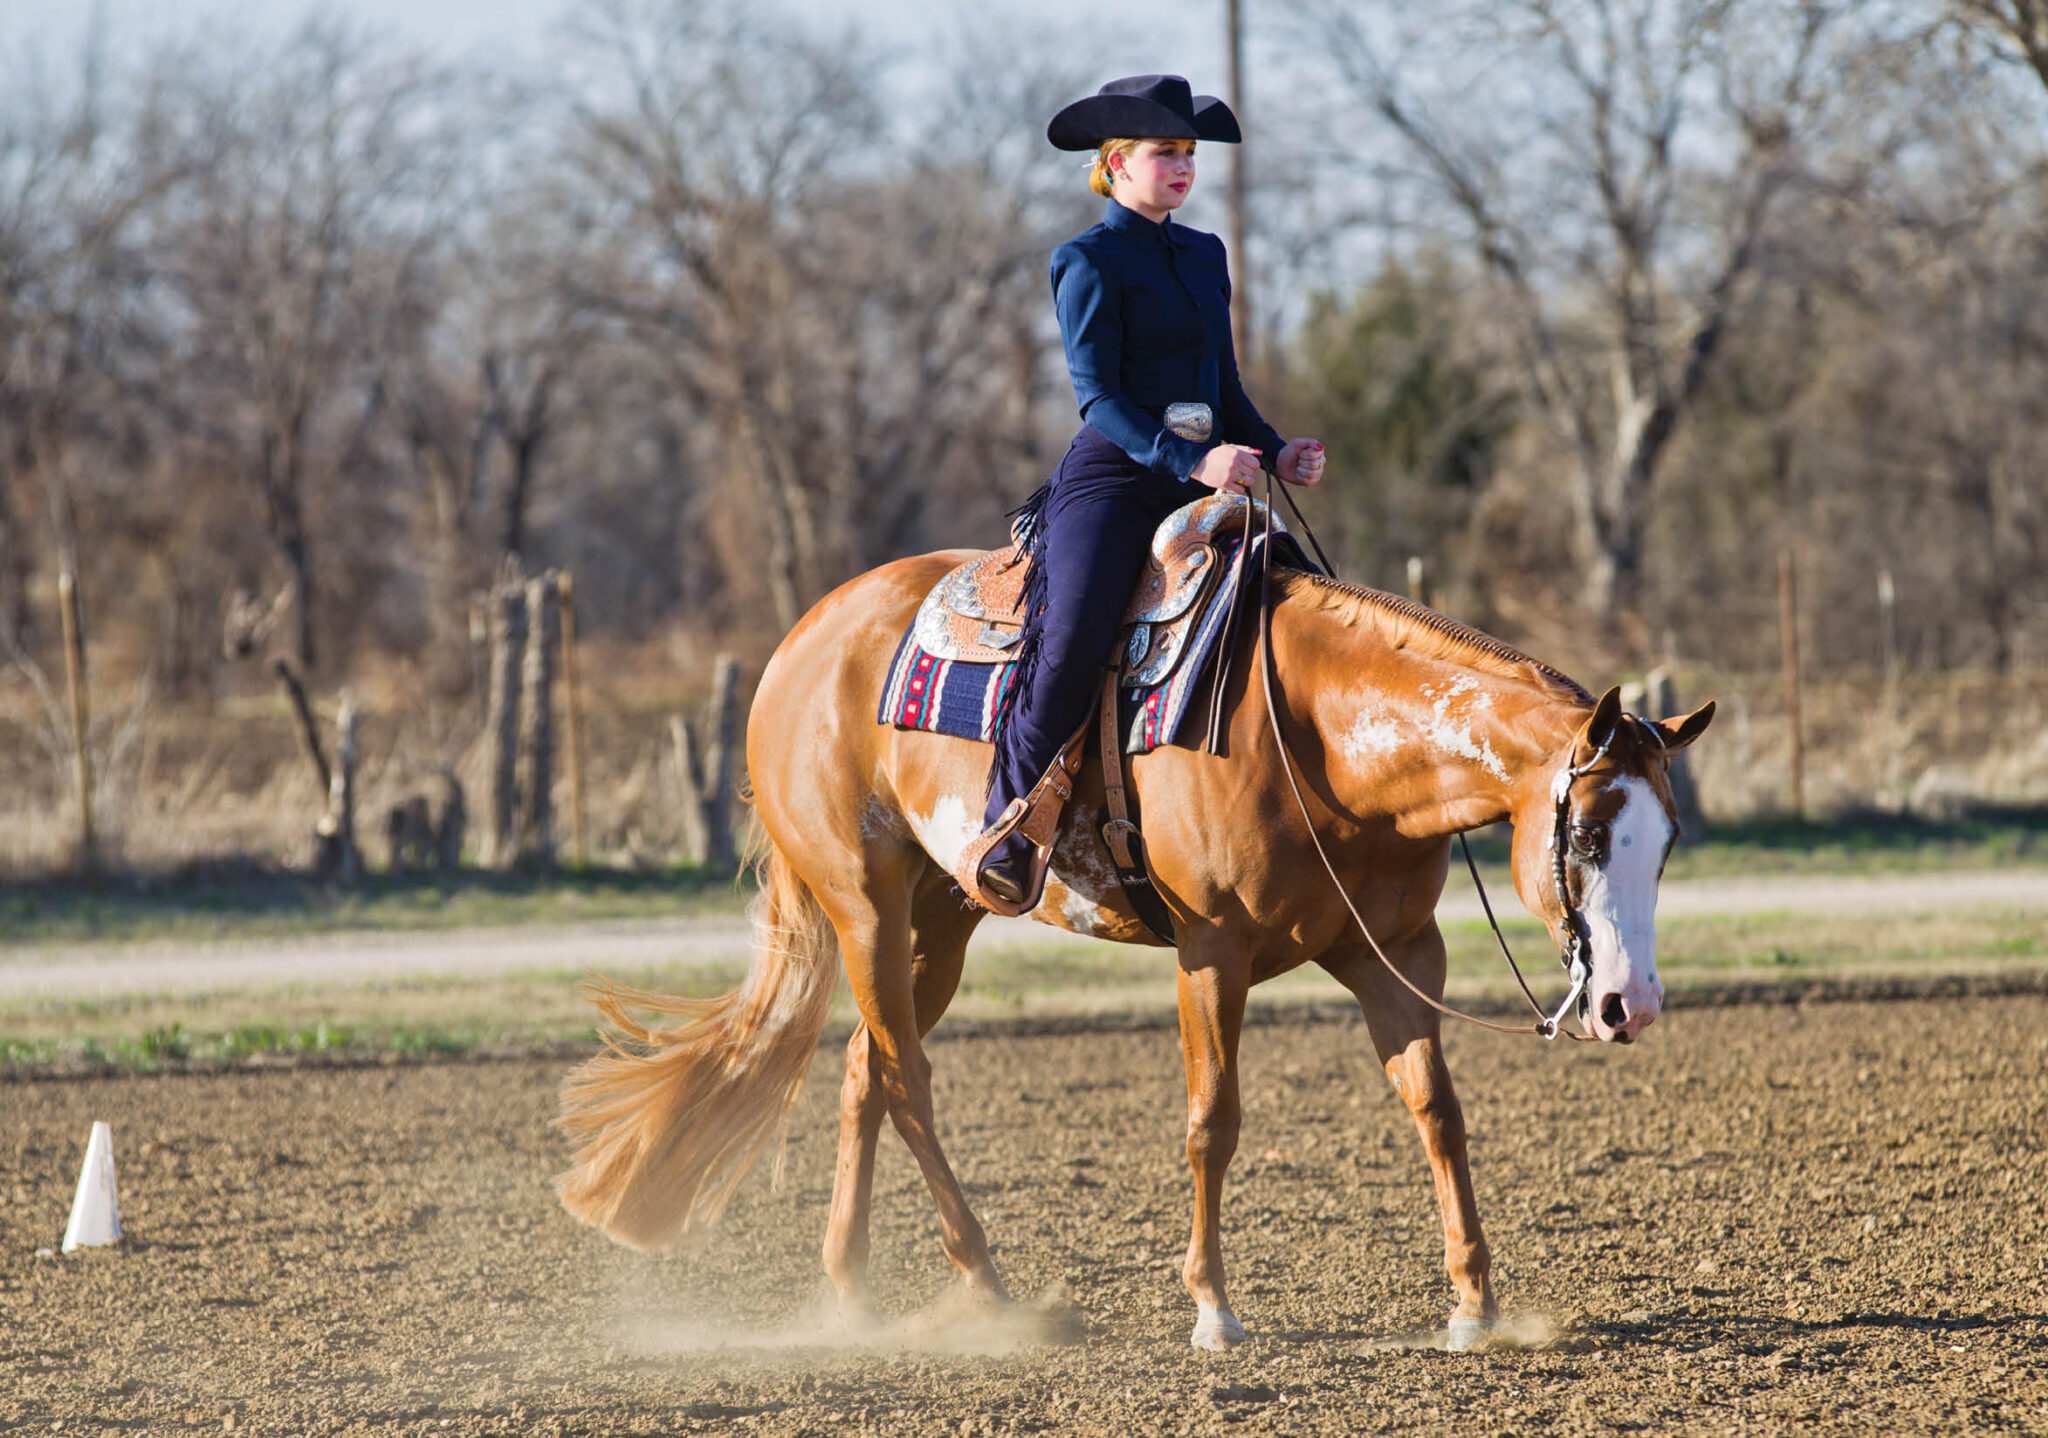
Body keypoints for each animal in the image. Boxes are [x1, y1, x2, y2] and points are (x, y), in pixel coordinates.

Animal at [554, 545, 1713, 1352]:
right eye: (1588, 834)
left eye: (1664, 844)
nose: (1632, 1005)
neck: (1313, 736)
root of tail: (802, 641)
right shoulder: (1211, 953)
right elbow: (1213, 1123)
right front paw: (1213, 1310)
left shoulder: (1393, 951)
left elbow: (1437, 1109)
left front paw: (1474, 1303)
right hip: (865, 908)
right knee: (906, 1077)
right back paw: (986, 1285)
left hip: (943, 915)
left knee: (862, 1069)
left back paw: (849, 1290)